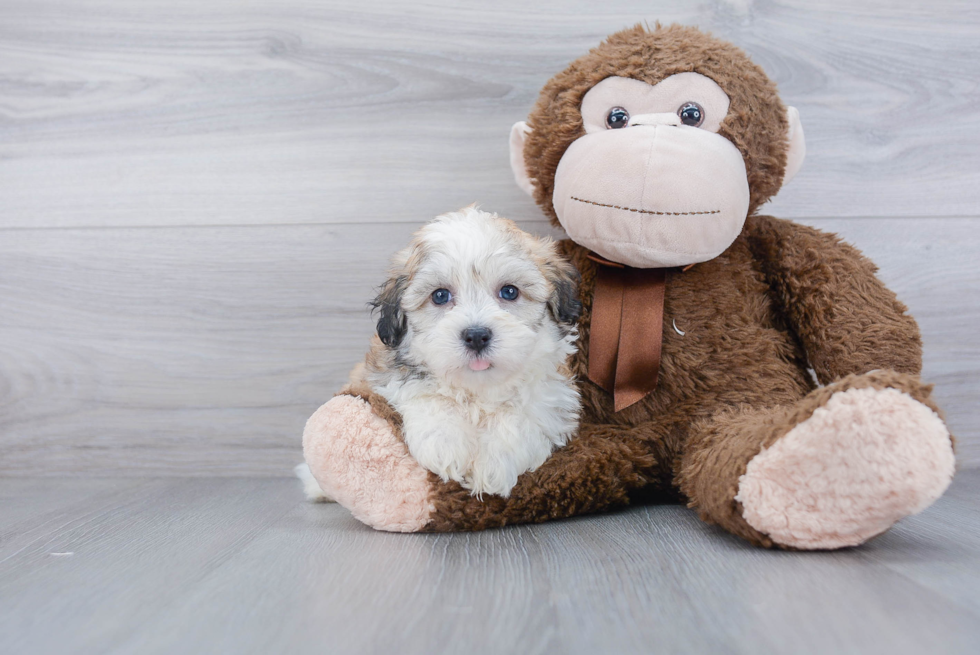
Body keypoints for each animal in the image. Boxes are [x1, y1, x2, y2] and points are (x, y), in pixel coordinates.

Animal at [352, 208, 580, 500]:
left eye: (509, 291)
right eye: (440, 296)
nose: (476, 336)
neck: (477, 389)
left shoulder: (551, 395)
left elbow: (522, 414)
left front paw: (494, 464)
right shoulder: (391, 378)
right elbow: (429, 396)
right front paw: (445, 445)